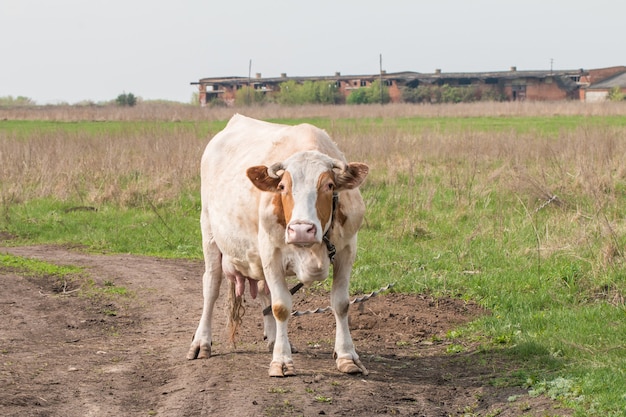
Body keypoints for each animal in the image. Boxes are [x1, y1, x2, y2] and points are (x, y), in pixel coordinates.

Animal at [188, 114, 368, 376]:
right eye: (283, 187)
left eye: (329, 186)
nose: (301, 229)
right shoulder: (271, 252)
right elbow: (281, 306)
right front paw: (281, 361)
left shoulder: (346, 250)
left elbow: (341, 304)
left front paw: (347, 356)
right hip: (209, 232)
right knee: (211, 287)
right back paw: (202, 342)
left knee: (264, 291)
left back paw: (274, 339)